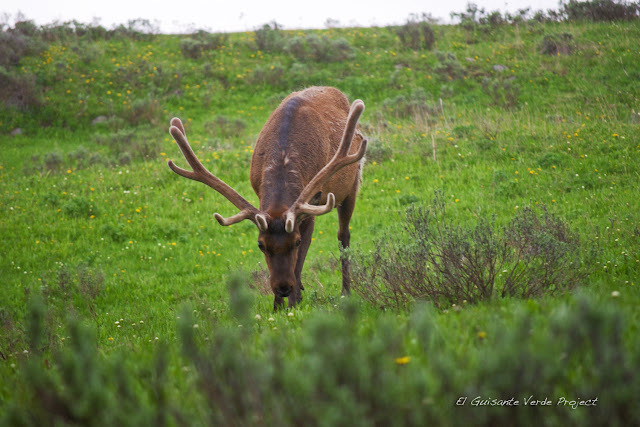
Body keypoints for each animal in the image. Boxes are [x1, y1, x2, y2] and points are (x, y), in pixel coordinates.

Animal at [168, 85, 368, 310]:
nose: (283, 288)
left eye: (296, 242)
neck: (284, 153)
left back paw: (345, 292)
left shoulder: (310, 206)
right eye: (260, 244)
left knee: (344, 236)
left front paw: (292, 304)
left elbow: (301, 259)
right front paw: (278, 306)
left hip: (352, 184)